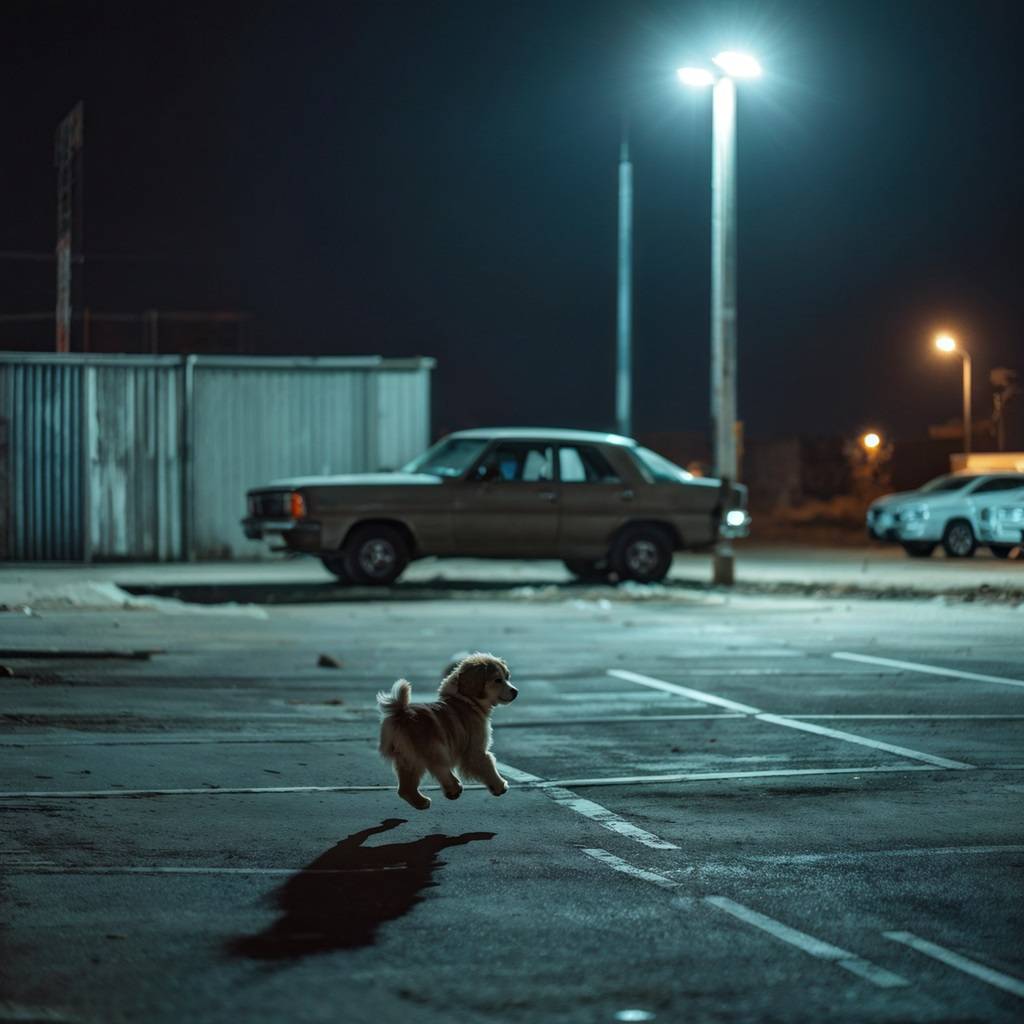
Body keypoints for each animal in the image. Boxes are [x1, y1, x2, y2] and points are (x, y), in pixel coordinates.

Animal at [378, 651, 520, 811]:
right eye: (498, 680)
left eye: (507, 677)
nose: (516, 691)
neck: (466, 700)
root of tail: (402, 713)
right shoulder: (475, 751)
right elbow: (488, 764)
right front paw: (500, 786)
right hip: (434, 748)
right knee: (440, 768)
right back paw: (454, 788)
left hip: (407, 758)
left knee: (405, 788)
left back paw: (422, 802)